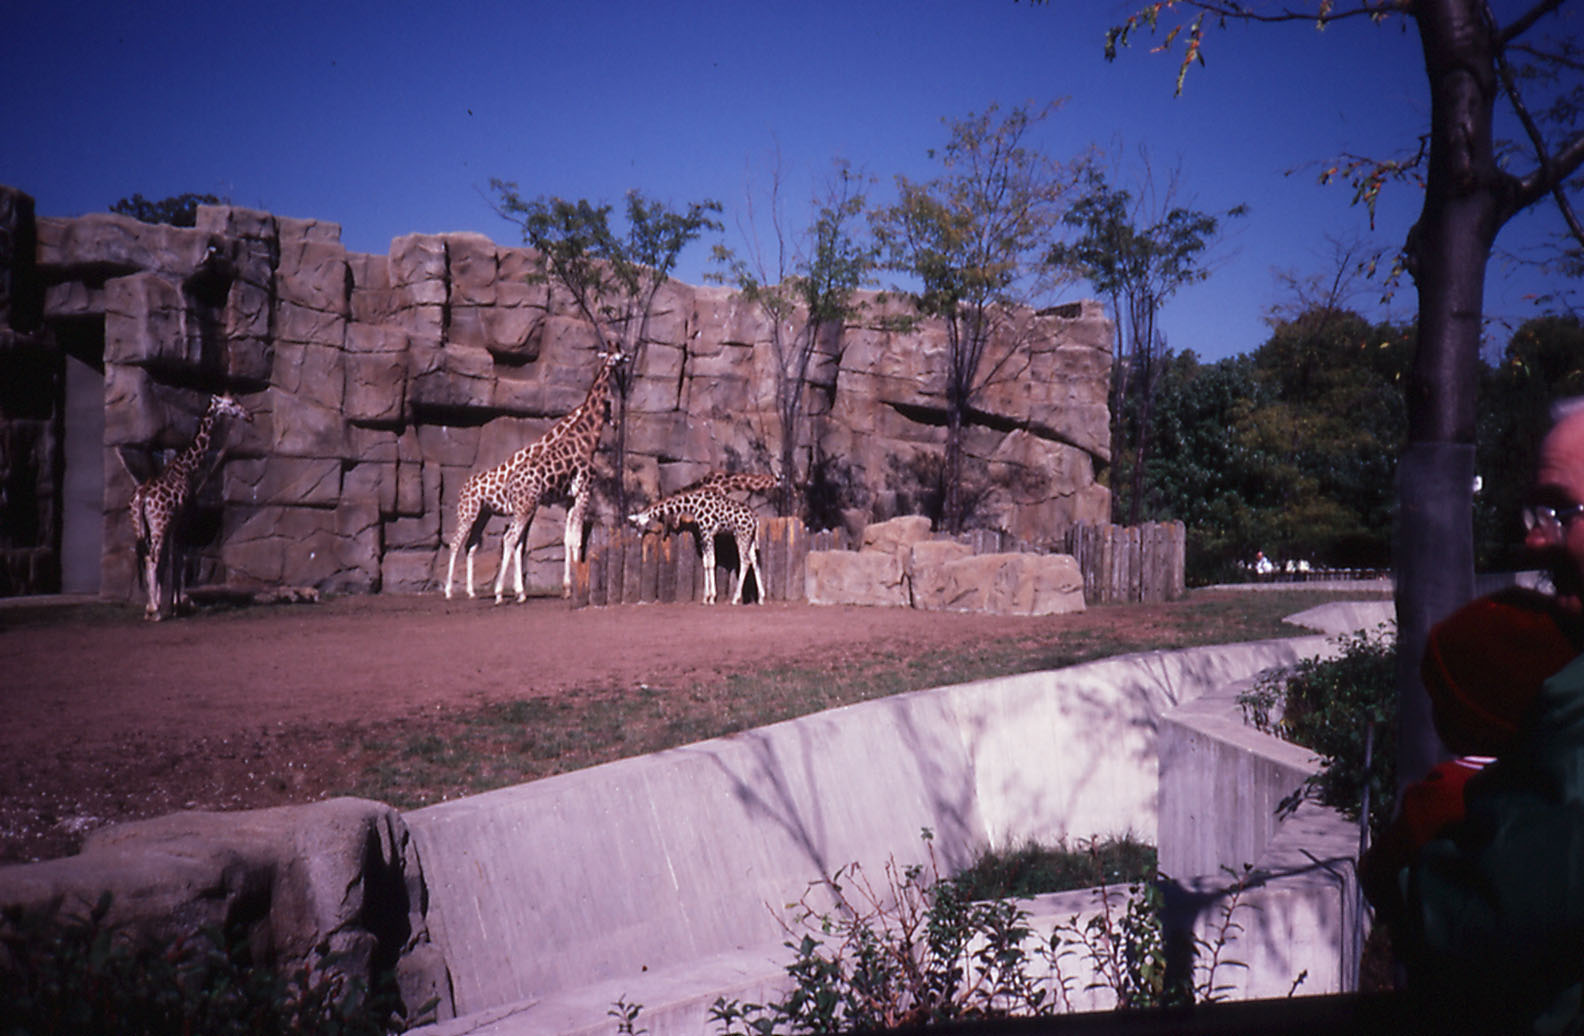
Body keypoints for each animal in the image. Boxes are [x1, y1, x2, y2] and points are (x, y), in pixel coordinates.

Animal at [126, 393, 252, 620]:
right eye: (231, 403)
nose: (249, 415)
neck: (187, 467)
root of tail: (142, 497)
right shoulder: (183, 520)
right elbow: (178, 558)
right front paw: (176, 606)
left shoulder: (173, 523)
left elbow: (168, 560)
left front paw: (168, 603)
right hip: (158, 524)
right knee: (152, 556)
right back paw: (154, 611)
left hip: (140, 525)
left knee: (147, 555)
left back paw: (150, 608)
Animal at [445, 348, 624, 603]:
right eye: (608, 405)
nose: (616, 422)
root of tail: (464, 487)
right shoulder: (577, 494)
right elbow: (570, 539)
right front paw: (572, 586)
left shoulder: (554, 502)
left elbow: (546, 541)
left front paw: (556, 588)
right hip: (470, 512)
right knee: (459, 543)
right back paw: (455, 591)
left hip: (484, 514)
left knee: (472, 544)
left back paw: (472, 591)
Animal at [628, 485, 765, 605]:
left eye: (637, 524)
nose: (638, 536)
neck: (693, 505)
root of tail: (755, 518)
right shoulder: (704, 536)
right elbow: (706, 563)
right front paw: (705, 598)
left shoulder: (707, 533)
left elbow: (711, 563)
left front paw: (711, 597)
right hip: (750, 538)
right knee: (754, 560)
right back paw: (761, 598)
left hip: (742, 536)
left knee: (745, 561)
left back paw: (735, 599)